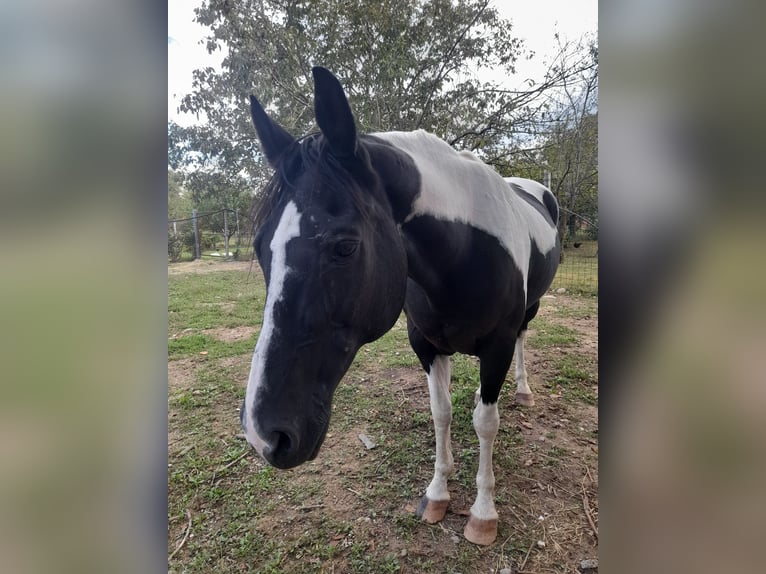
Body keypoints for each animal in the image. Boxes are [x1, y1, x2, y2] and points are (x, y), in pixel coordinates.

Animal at [242, 67, 564, 548]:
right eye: (261, 246)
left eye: (344, 246)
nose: (264, 436)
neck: (465, 251)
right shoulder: (425, 345)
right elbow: (441, 412)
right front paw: (437, 493)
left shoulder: (498, 346)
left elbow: (486, 424)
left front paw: (483, 514)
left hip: (528, 314)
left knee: (523, 343)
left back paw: (522, 390)